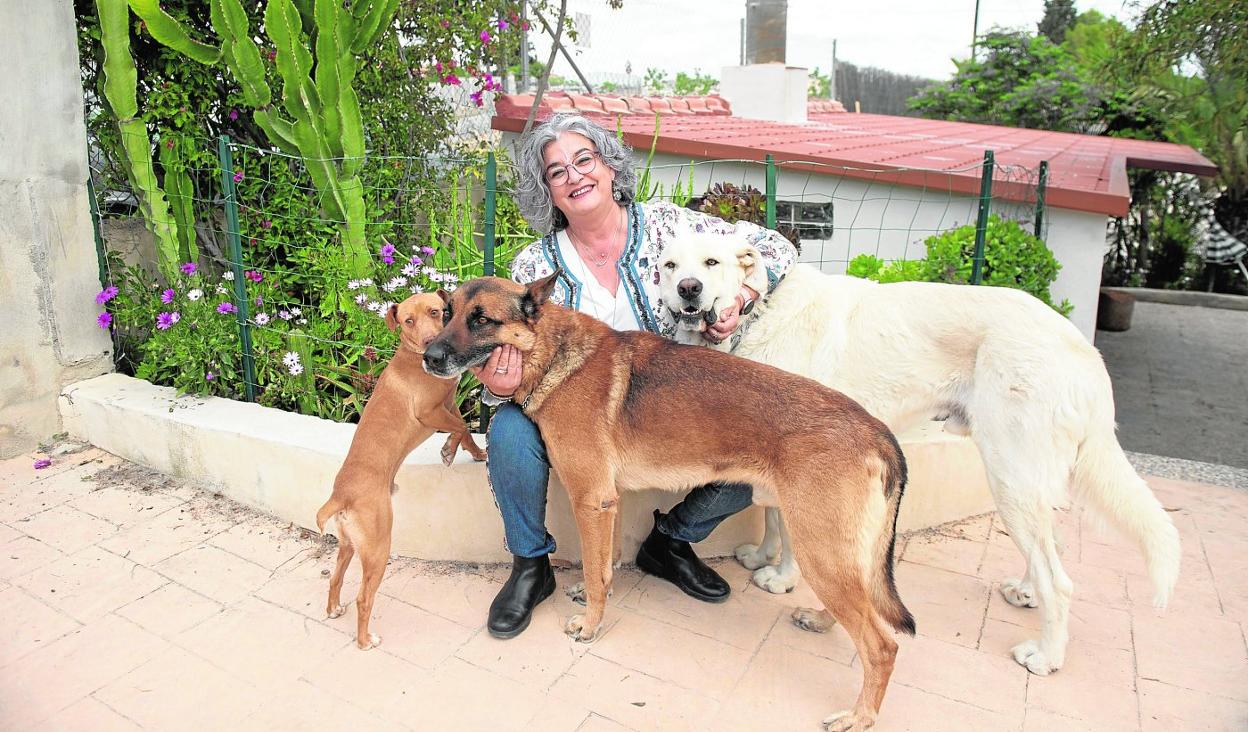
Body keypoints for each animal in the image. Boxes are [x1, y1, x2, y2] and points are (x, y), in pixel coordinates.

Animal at [315, 292, 487, 649]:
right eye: (408, 321)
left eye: (436, 312)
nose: (430, 342)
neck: (412, 355)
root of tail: (340, 496)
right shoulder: (430, 412)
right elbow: (463, 426)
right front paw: (449, 450)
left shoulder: (449, 403)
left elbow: (464, 430)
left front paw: (471, 452)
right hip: (378, 547)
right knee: (364, 598)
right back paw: (365, 640)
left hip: (348, 546)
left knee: (336, 578)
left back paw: (334, 608)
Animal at [423, 273, 915, 731]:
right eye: (447, 314)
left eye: (481, 320)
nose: (429, 357)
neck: (555, 355)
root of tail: (877, 430)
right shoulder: (608, 501)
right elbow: (604, 564)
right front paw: (596, 595)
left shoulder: (590, 500)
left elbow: (595, 569)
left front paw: (590, 625)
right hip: (835, 552)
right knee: (867, 610)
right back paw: (820, 621)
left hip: (820, 549)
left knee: (882, 644)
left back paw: (860, 716)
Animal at [657, 233, 1182, 676]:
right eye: (669, 265)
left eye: (711, 263)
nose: (688, 289)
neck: (758, 313)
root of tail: (1083, 349)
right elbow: (769, 515)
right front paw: (762, 556)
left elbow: (787, 526)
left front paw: (782, 577)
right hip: (1022, 481)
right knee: (1048, 553)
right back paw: (1026, 592)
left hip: (1009, 474)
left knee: (1062, 580)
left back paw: (1046, 656)